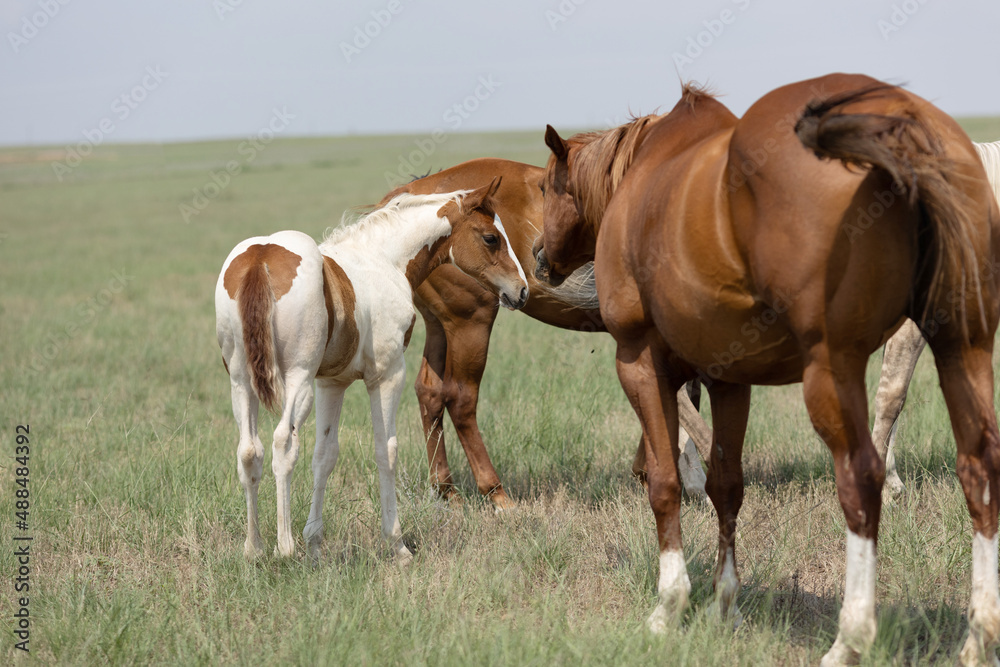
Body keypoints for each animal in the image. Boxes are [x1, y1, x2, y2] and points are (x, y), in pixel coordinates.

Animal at [215, 180, 528, 560]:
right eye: (491, 238)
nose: (522, 290)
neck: (384, 260)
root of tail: (259, 259)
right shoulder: (387, 375)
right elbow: (386, 451)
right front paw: (397, 544)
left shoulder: (331, 384)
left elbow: (324, 456)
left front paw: (315, 544)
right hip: (297, 380)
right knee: (283, 444)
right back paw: (285, 547)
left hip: (241, 383)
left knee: (249, 451)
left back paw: (254, 548)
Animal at [536, 72, 1000, 664]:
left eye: (548, 187)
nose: (538, 254)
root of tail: (900, 119)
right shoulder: (728, 379)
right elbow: (726, 486)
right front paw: (725, 606)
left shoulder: (638, 362)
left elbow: (664, 483)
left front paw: (669, 606)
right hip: (962, 346)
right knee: (979, 468)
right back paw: (979, 638)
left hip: (834, 371)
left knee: (861, 481)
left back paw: (850, 638)